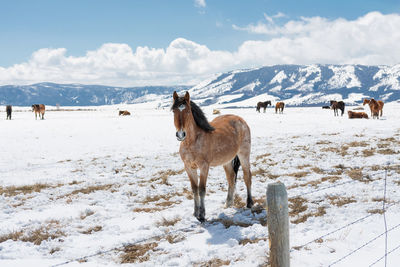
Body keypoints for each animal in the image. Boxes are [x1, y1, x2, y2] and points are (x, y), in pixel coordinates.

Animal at [172, 91, 253, 222]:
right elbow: (194, 189)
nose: (180, 134)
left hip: (244, 154)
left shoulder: (204, 167)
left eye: (188, 111)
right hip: (226, 160)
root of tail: (241, 120)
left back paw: (249, 203)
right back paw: (228, 203)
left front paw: (202, 215)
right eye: (174, 111)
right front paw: (195, 213)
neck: (192, 141)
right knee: (231, 178)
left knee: (247, 176)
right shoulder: (188, 167)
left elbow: (201, 189)